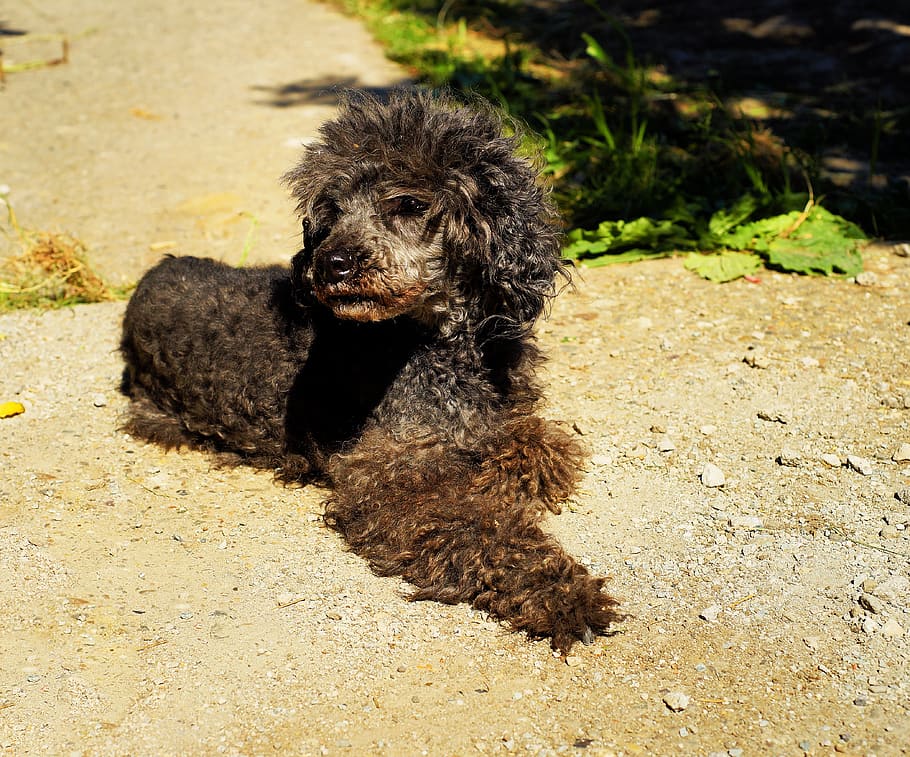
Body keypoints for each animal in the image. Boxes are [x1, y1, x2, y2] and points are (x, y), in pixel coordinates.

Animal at [119, 90, 620, 648]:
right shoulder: (390, 474)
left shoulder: (505, 417)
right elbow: (476, 526)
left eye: (410, 204)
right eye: (332, 212)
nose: (330, 263)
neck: (439, 347)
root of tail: (154, 273)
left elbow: (540, 445)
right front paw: (560, 591)